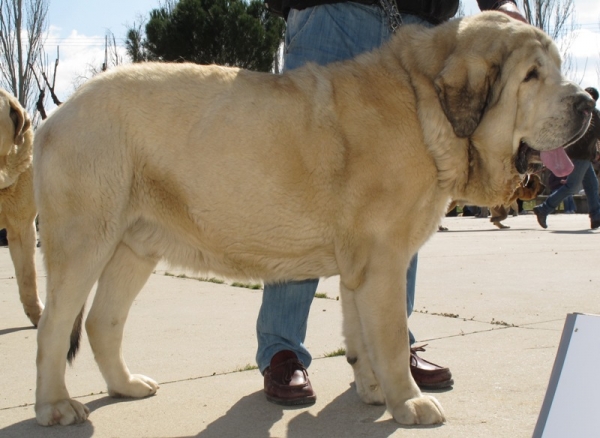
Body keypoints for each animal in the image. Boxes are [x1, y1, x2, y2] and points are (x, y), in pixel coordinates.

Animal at [31, 13, 592, 428]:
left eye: (557, 69)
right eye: (532, 77)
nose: (588, 101)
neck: (422, 104)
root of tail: (57, 114)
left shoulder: (361, 264)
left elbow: (361, 333)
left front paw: (373, 391)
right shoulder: (384, 259)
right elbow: (391, 335)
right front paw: (409, 402)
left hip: (136, 245)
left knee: (102, 322)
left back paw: (125, 386)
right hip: (84, 240)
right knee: (54, 326)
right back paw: (55, 406)